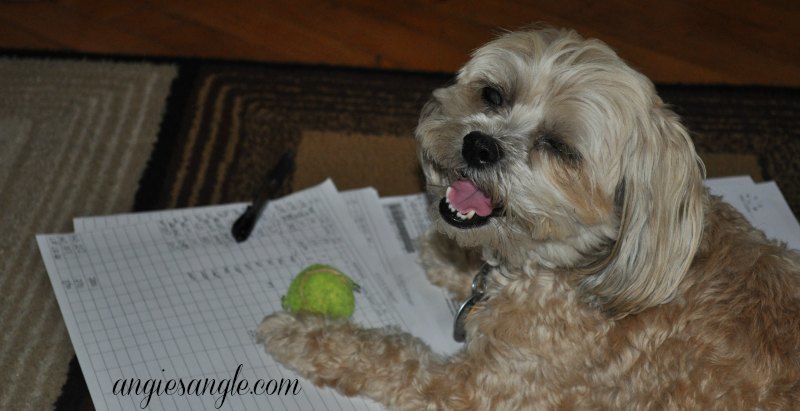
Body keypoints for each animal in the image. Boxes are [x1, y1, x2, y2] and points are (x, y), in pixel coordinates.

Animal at [258, 27, 800, 410]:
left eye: (559, 147)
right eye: (494, 95)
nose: (479, 145)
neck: (580, 266)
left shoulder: (477, 387)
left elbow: (388, 355)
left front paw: (301, 332)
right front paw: (447, 254)